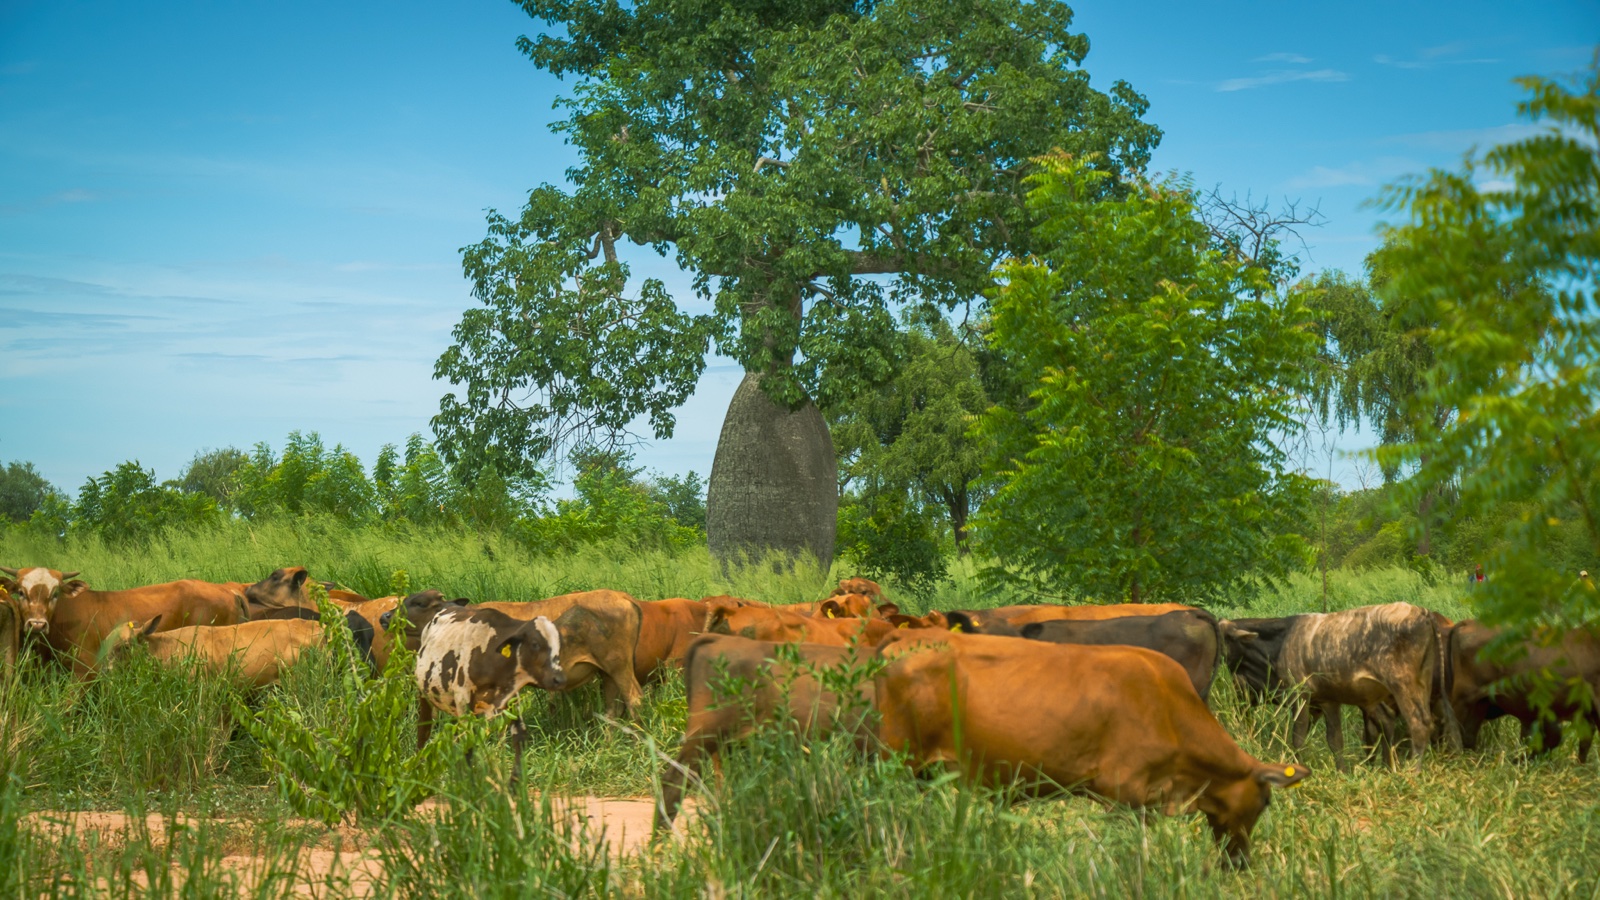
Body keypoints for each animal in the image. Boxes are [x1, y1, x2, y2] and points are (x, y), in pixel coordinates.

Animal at [411, 599, 566, 782]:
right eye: (535, 644)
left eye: (558, 645)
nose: (559, 679)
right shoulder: (463, 700)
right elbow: (469, 745)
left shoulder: (511, 701)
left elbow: (517, 739)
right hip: (425, 695)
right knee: (423, 731)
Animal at [1219, 603, 1441, 771]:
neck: (1281, 641)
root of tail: (1423, 613)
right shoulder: (1328, 701)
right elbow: (1335, 741)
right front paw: (1342, 772)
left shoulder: (1299, 695)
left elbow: (1298, 736)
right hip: (1419, 685)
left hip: (1403, 685)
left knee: (1418, 724)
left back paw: (1412, 772)